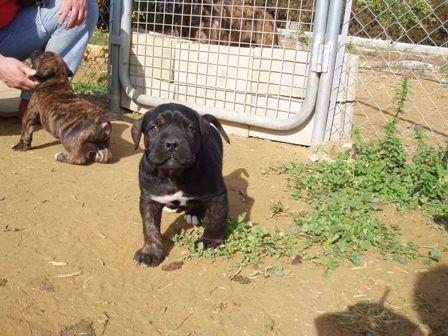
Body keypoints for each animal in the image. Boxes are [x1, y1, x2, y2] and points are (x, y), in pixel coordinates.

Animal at [130, 103, 229, 268]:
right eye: (153, 128)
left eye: (190, 128)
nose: (172, 144)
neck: (172, 174)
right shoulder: (149, 199)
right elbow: (150, 228)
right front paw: (150, 252)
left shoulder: (217, 195)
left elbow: (216, 220)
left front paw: (210, 241)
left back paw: (194, 213)